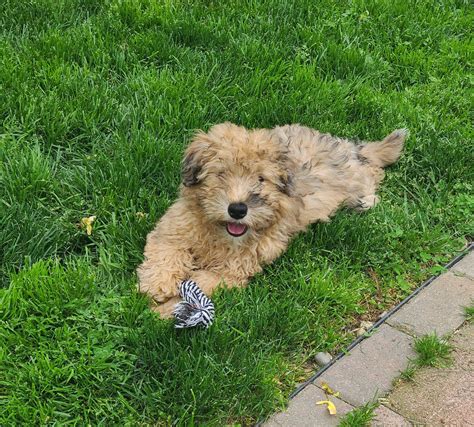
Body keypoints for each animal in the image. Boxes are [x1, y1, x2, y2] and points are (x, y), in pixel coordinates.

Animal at [136, 122, 404, 316]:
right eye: (221, 174)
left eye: (261, 179)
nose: (237, 209)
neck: (219, 233)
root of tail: (351, 149)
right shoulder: (174, 227)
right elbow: (165, 253)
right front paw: (158, 286)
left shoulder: (233, 269)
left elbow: (198, 285)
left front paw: (163, 311)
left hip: (354, 181)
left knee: (372, 173)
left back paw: (365, 200)